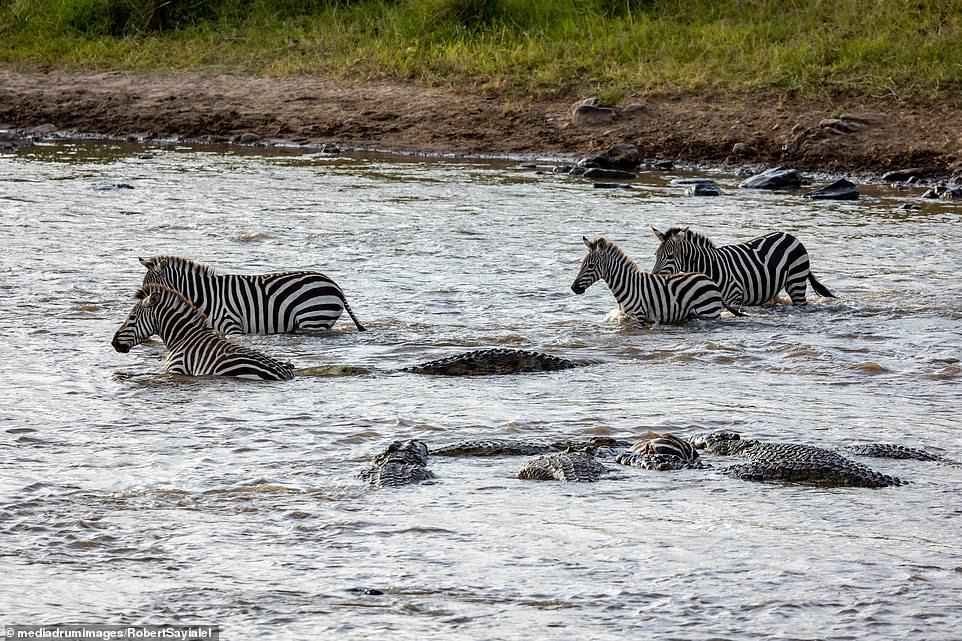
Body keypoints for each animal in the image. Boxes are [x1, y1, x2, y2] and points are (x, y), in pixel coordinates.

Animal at [139, 255, 368, 336]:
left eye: (150, 287)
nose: (142, 302)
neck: (208, 296)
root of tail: (335, 285)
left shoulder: (232, 325)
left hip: (314, 319)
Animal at [568, 235, 736, 322]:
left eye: (590, 266)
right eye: (582, 264)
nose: (573, 287)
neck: (627, 284)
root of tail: (709, 279)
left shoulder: (639, 316)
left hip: (708, 312)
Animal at [652, 226, 832, 308]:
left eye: (670, 257)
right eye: (656, 255)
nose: (654, 275)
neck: (711, 267)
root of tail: (791, 236)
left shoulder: (733, 297)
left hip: (796, 281)